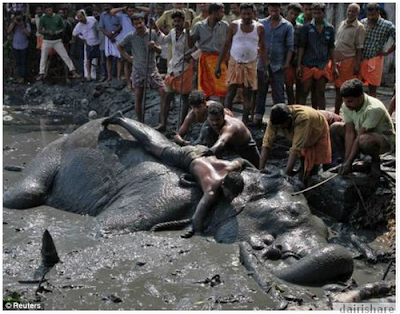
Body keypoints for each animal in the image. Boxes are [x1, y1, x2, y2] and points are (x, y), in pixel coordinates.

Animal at [3, 116, 354, 286]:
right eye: (270, 240)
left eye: (328, 231)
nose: (275, 253)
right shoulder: (157, 199)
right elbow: (102, 229)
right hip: (53, 153)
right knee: (24, 194)